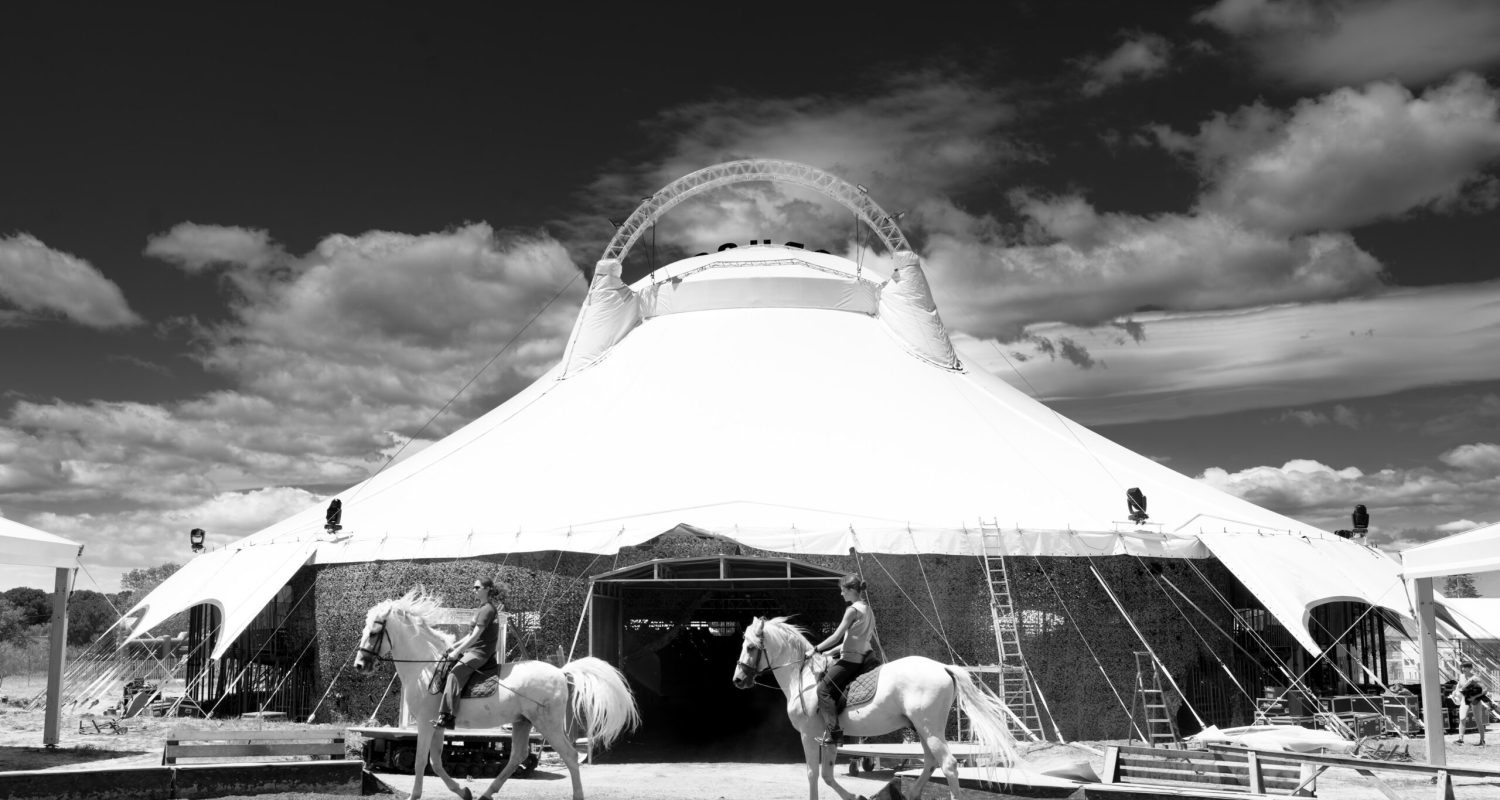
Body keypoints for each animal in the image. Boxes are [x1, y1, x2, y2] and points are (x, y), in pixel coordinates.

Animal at [354, 588, 642, 798]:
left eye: (374, 632)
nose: (359, 665)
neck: (426, 666)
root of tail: (561, 673)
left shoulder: (425, 723)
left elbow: (420, 762)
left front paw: (416, 796)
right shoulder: (437, 724)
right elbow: (435, 762)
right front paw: (464, 791)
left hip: (546, 723)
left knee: (569, 756)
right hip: (522, 722)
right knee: (516, 757)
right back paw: (486, 793)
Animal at [732, 615, 1026, 792]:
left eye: (750, 647)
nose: (738, 679)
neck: (802, 676)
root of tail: (942, 667)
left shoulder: (808, 735)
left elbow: (813, 775)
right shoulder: (828, 737)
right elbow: (827, 775)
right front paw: (854, 797)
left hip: (929, 728)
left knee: (949, 764)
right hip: (922, 729)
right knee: (930, 762)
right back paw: (912, 795)